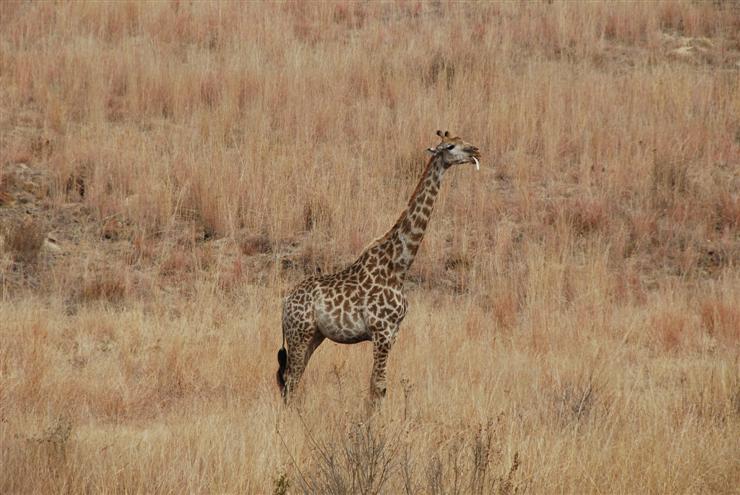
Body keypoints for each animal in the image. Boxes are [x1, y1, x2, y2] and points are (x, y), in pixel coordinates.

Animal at [277, 130, 480, 405]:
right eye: (450, 146)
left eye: (463, 140)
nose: (475, 151)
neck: (399, 265)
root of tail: (285, 303)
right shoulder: (382, 330)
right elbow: (379, 386)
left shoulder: (393, 332)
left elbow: (378, 385)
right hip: (300, 333)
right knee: (290, 380)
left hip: (314, 335)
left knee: (292, 379)